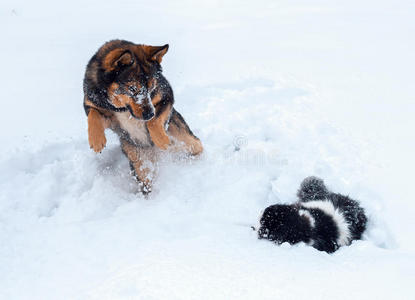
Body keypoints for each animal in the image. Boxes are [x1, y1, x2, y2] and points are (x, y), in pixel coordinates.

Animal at [82, 39, 203, 193]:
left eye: (151, 87)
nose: (150, 114)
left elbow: (154, 121)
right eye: (132, 88)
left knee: (198, 146)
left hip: (185, 140)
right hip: (138, 159)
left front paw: (161, 139)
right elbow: (93, 115)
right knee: (145, 181)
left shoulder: (166, 95)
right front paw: (97, 141)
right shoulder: (94, 104)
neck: (122, 108)